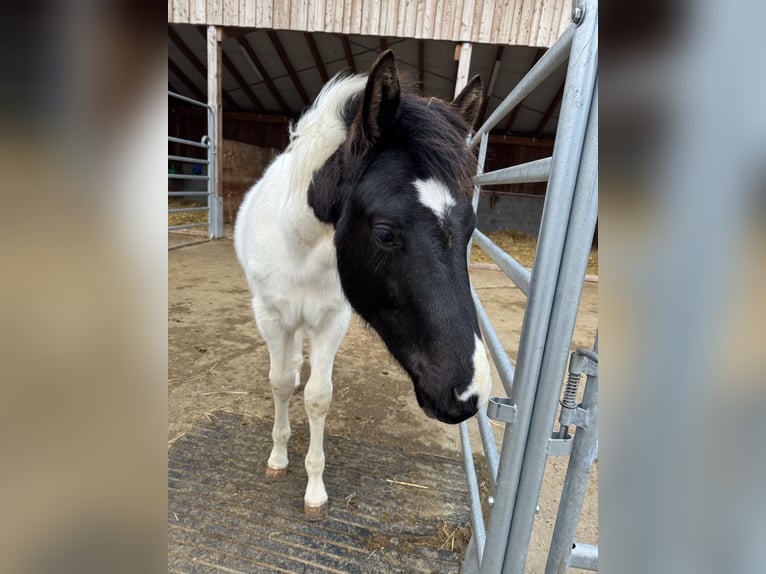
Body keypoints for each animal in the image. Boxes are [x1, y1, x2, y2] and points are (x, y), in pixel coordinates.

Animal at [234, 51, 491, 520]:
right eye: (385, 233)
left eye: (470, 229)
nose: (469, 393)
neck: (298, 245)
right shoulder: (271, 317)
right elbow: (279, 382)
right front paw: (278, 459)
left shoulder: (331, 321)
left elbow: (318, 396)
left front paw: (315, 490)